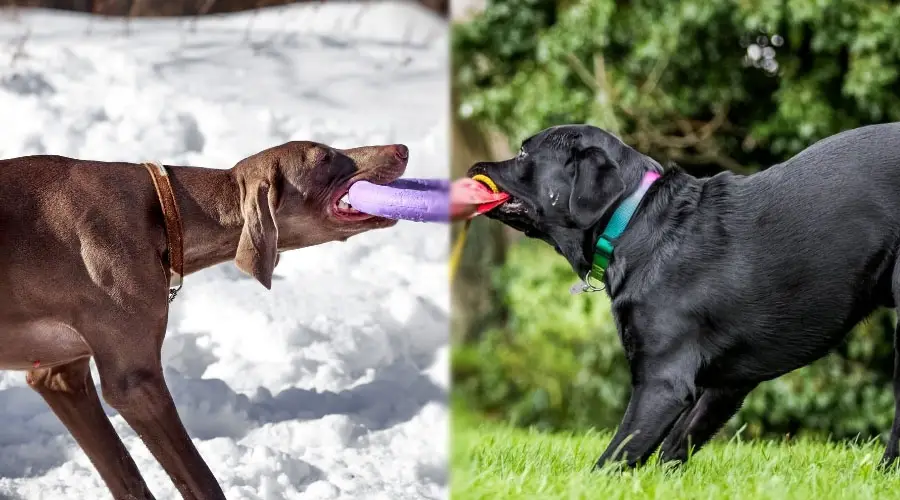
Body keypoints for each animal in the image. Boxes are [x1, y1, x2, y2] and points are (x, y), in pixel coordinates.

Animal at [0, 139, 408, 498]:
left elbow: (128, 481)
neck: (164, 212)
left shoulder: (61, 376)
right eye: (324, 157)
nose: (401, 149)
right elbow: (202, 482)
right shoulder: (136, 385)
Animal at [468, 122, 900, 468]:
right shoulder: (727, 385)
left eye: (525, 152)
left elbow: (617, 454)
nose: (475, 167)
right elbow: (675, 444)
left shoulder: (663, 381)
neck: (634, 220)